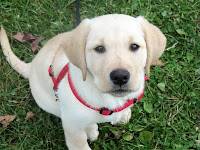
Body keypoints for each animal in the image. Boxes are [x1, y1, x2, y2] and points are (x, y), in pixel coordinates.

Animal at [0, 14, 166, 150]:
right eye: (99, 48)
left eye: (134, 46)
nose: (120, 76)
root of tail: (32, 64)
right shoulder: (71, 124)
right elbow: (78, 142)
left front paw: (124, 113)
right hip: (49, 103)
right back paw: (91, 129)